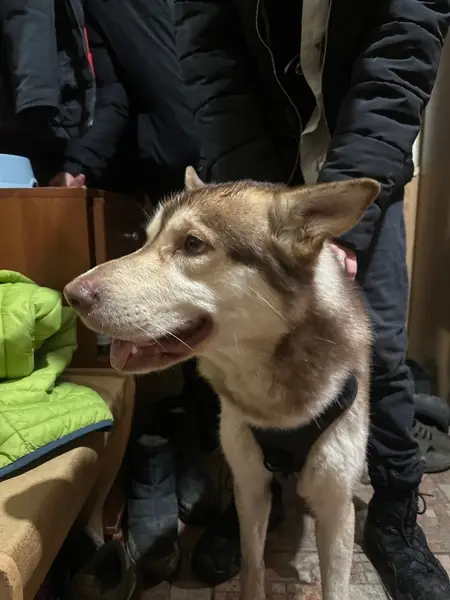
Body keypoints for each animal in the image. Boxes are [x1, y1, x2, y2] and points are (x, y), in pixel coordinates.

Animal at [64, 168, 380, 600]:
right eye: (145, 240)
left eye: (192, 243)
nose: (71, 294)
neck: (273, 406)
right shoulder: (249, 484)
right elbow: (251, 565)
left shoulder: (334, 500)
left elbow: (336, 581)